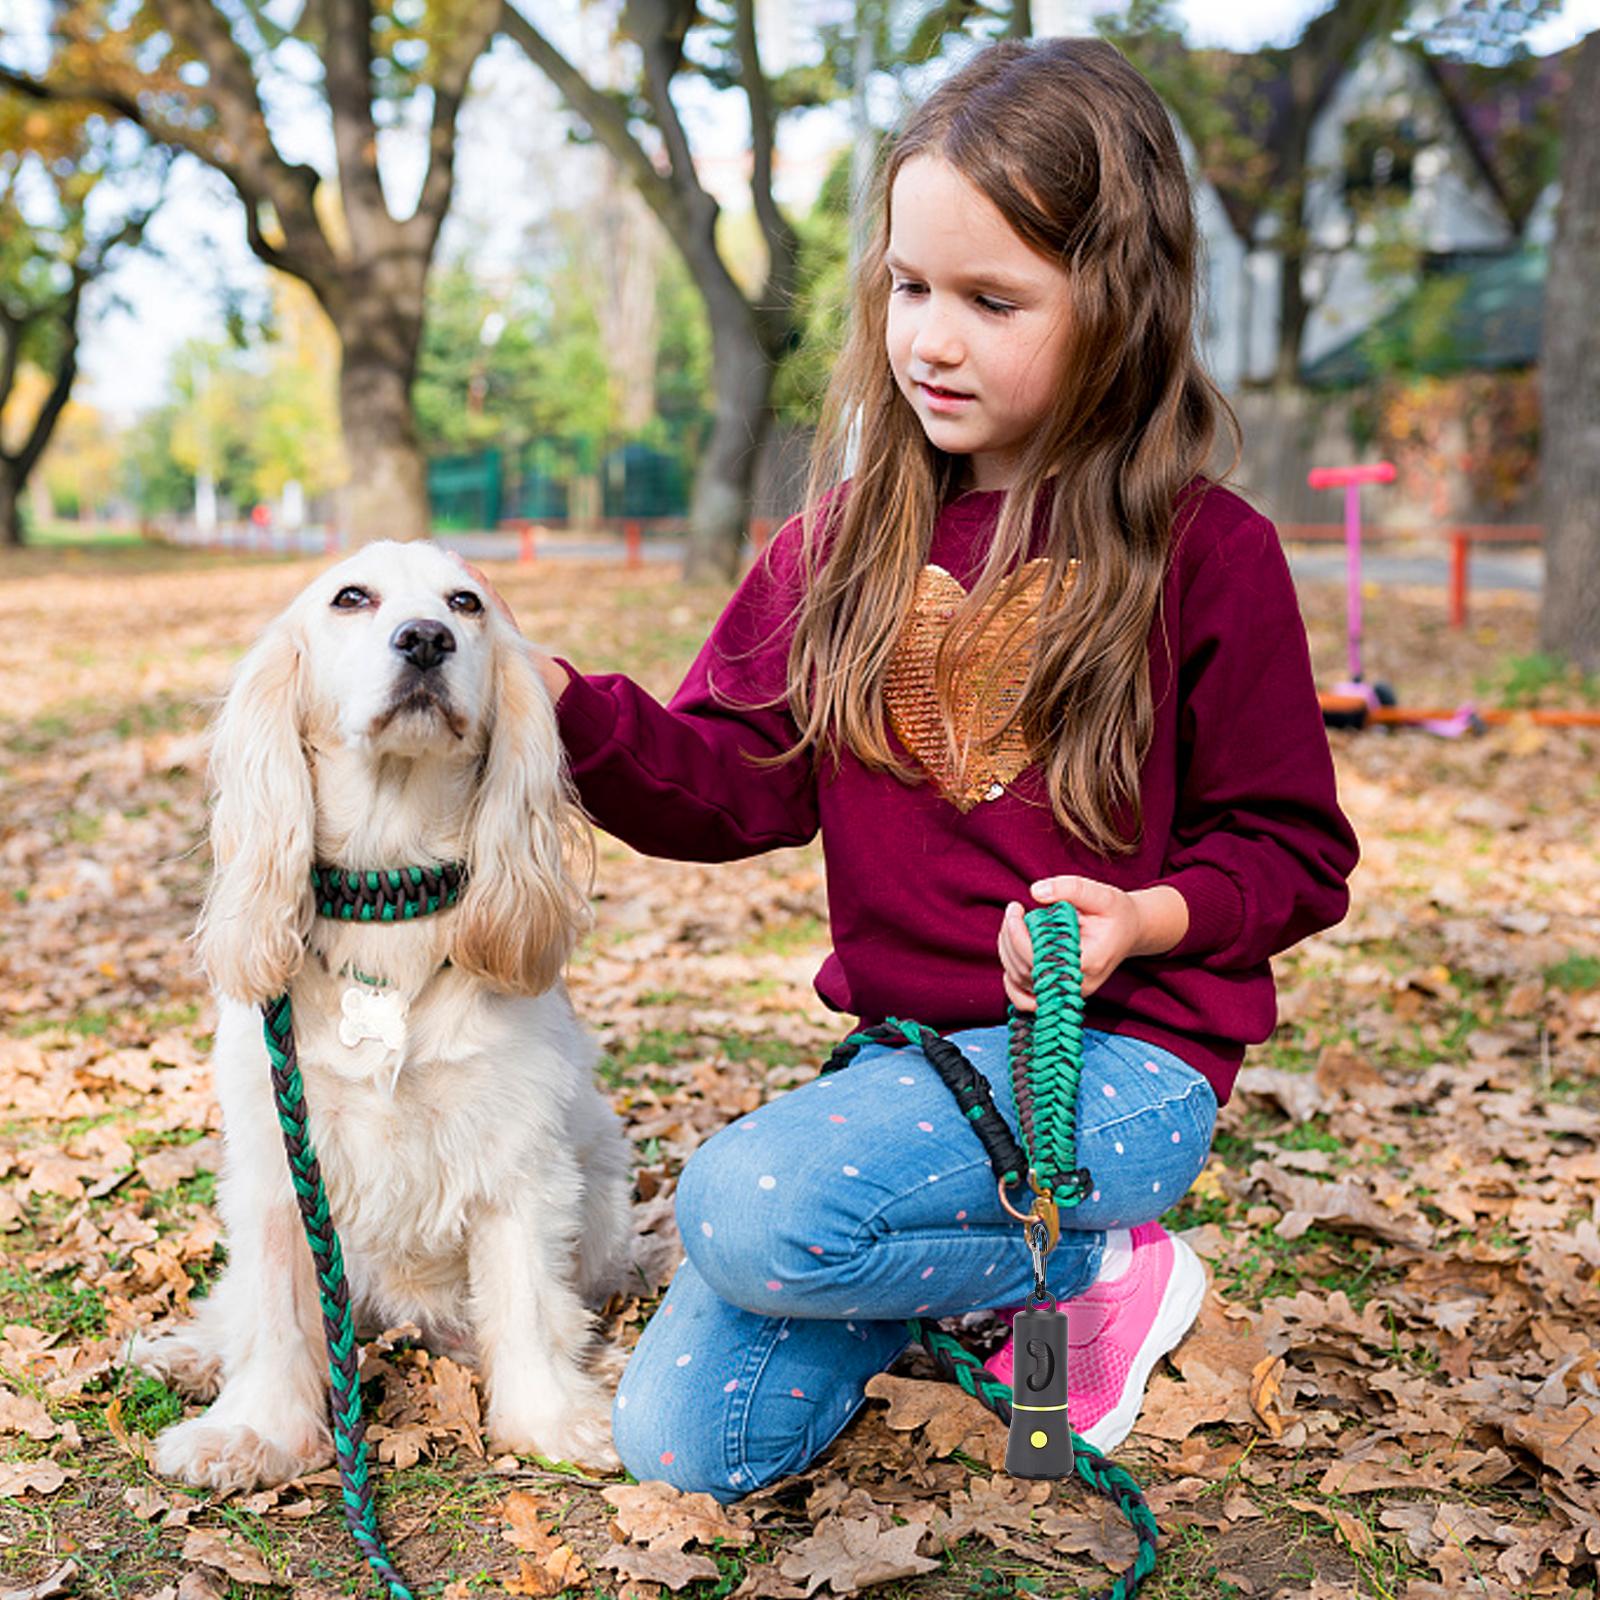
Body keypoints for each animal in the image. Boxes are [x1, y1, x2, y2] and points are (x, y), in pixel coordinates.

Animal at [132, 537, 630, 1484]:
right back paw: (188, 1353)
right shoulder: (281, 1162)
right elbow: (277, 1316)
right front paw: (253, 1431)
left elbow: (526, 1299)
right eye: (350, 598)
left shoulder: (517, 1152)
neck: (389, 894)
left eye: (467, 603)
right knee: (239, 1309)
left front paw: (552, 1422)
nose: (426, 639)